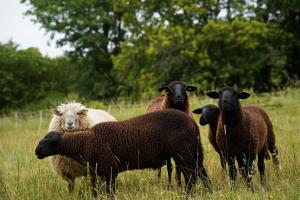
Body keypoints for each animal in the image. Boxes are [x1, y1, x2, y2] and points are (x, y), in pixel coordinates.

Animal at [35, 109, 212, 198]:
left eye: (47, 141)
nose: (36, 152)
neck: (86, 142)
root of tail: (193, 124)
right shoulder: (104, 172)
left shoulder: (109, 169)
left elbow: (110, 192)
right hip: (193, 152)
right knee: (201, 173)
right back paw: (209, 192)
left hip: (183, 152)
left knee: (191, 176)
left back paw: (188, 195)